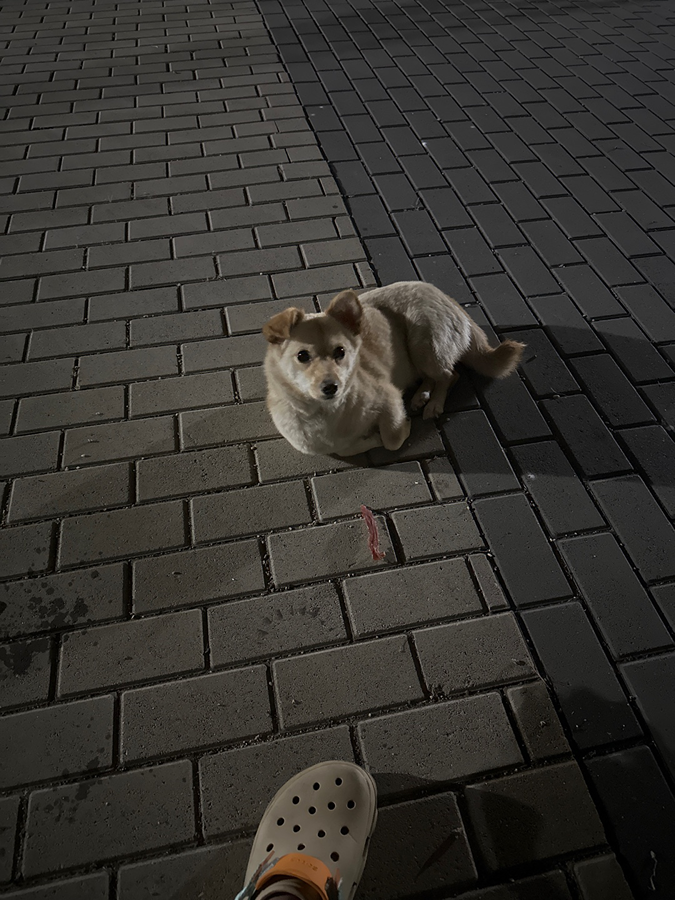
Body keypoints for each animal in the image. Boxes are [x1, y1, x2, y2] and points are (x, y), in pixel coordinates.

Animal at [262, 282, 524, 458]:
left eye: (340, 352)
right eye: (302, 356)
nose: (331, 387)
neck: (327, 413)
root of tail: (449, 299)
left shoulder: (389, 397)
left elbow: (392, 438)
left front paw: (397, 428)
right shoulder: (325, 445)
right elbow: (348, 447)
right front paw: (368, 437)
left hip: (423, 343)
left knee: (450, 374)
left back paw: (434, 403)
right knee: (432, 376)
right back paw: (421, 395)